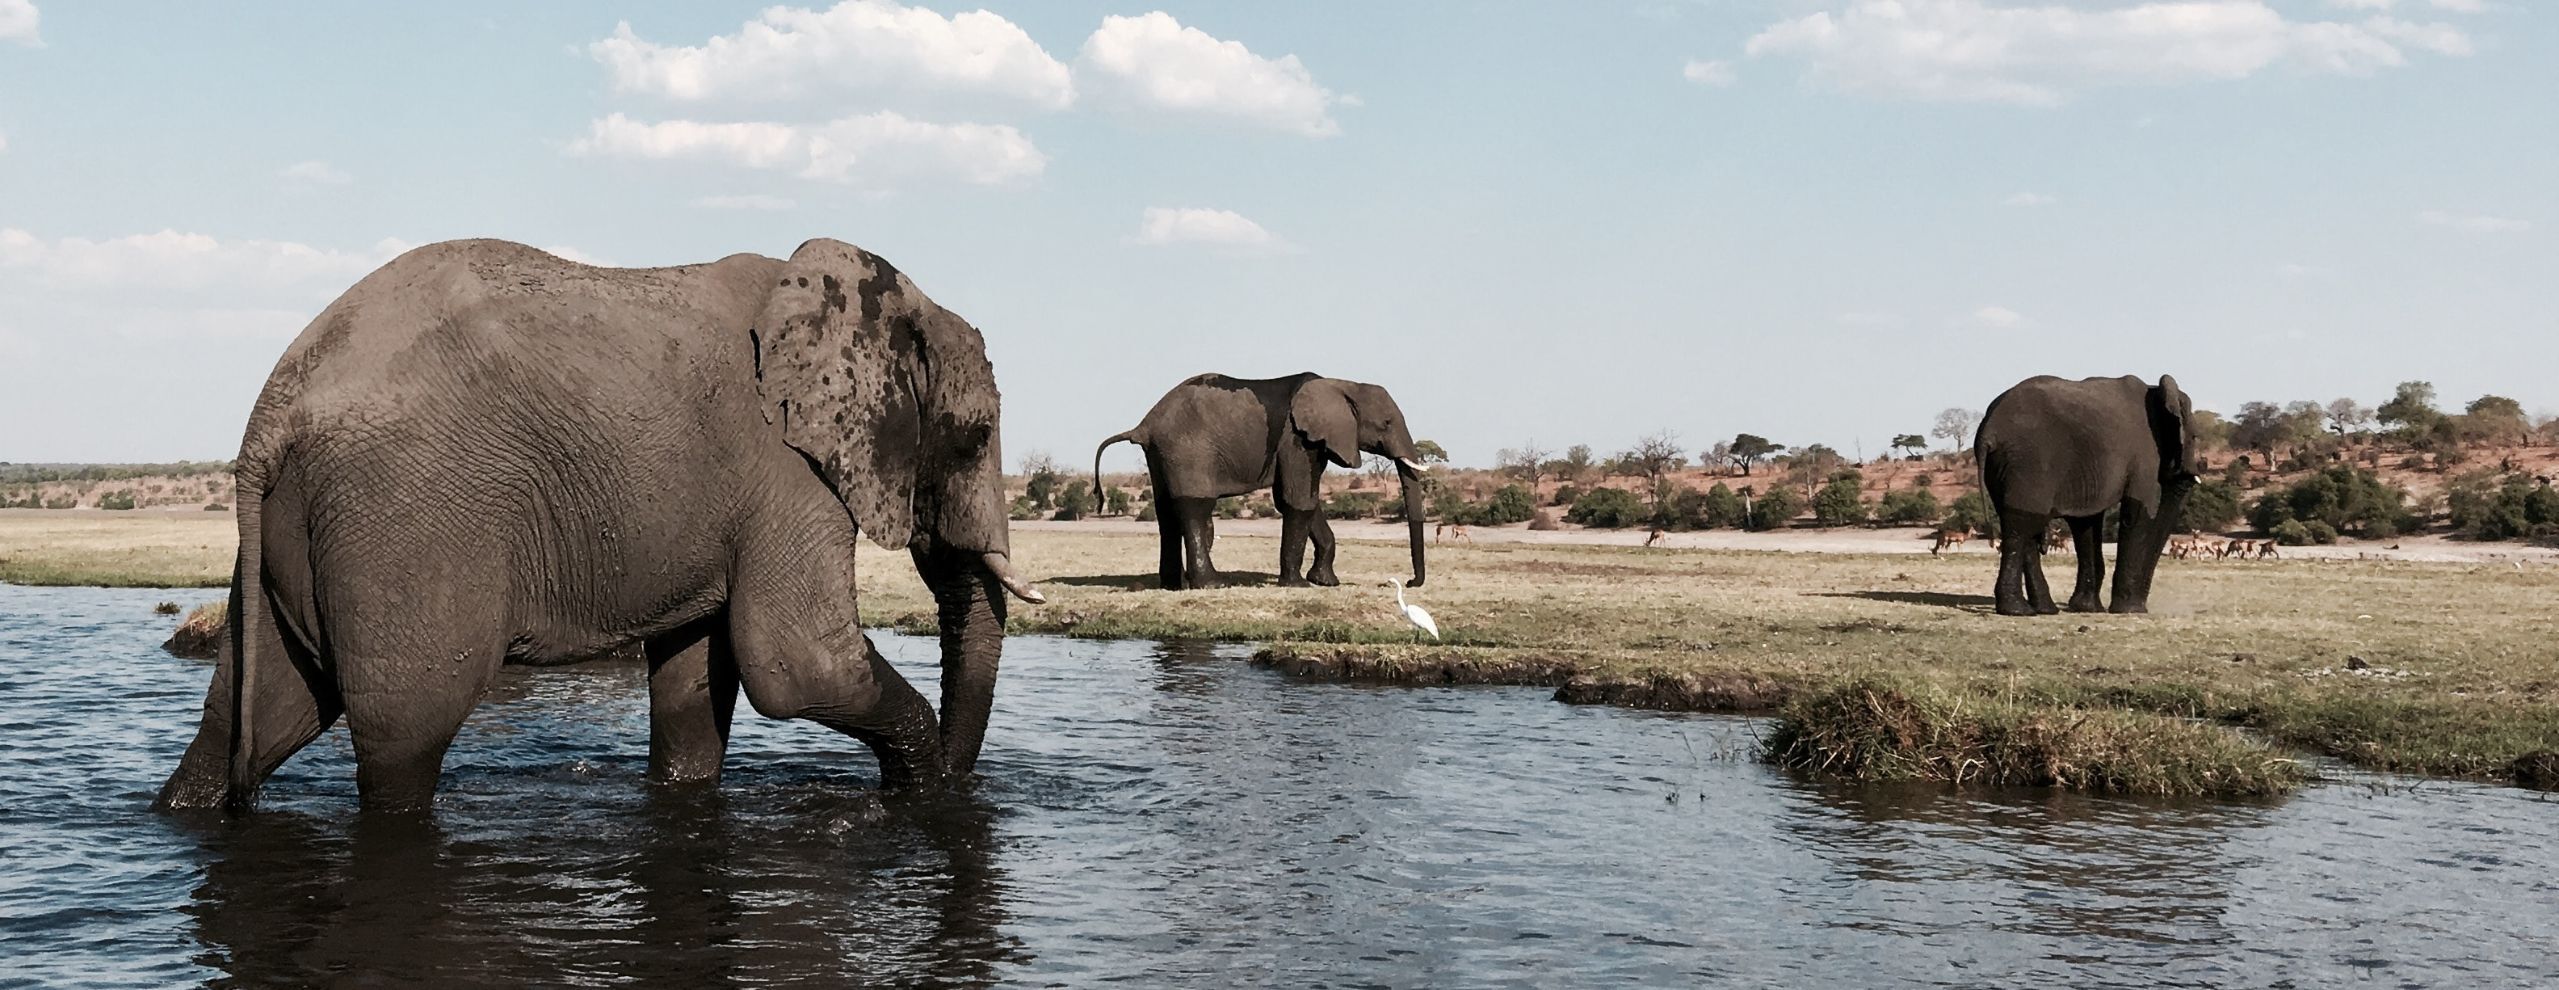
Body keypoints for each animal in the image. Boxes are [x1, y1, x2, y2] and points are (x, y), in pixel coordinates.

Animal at [155, 238, 1044, 814]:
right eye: (972, 438)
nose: (965, 789)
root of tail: (274, 404)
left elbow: (693, 683)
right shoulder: (787, 468)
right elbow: (798, 665)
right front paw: (924, 796)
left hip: (296, 533)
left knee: (253, 714)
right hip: (403, 518)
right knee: (404, 738)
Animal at [1094, 373, 1428, 591]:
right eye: (1386, 423)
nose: (1410, 582)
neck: (1341, 383)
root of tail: (1144, 425)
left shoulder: (1311, 443)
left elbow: (1300, 500)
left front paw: (1326, 582)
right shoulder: (1298, 438)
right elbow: (1298, 500)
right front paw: (1297, 586)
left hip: (1161, 454)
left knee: (1166, 512)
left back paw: (1172, 585)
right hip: (1187, 449)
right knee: (1194, 508)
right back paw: (1213, 584)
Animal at [1974, 374, 2199, 617]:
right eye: (2195, 437)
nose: (2143, 607)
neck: (2157, 391)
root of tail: (1988, 431)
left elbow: (2087, 524)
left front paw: (2087, 608)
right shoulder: (2146, 455)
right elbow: (2138, 515)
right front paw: (2128, 610)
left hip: (2003, 466)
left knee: (2023, 525)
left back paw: (2045, 609)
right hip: (2028, 463)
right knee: (2021, 525)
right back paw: (2018, 610)